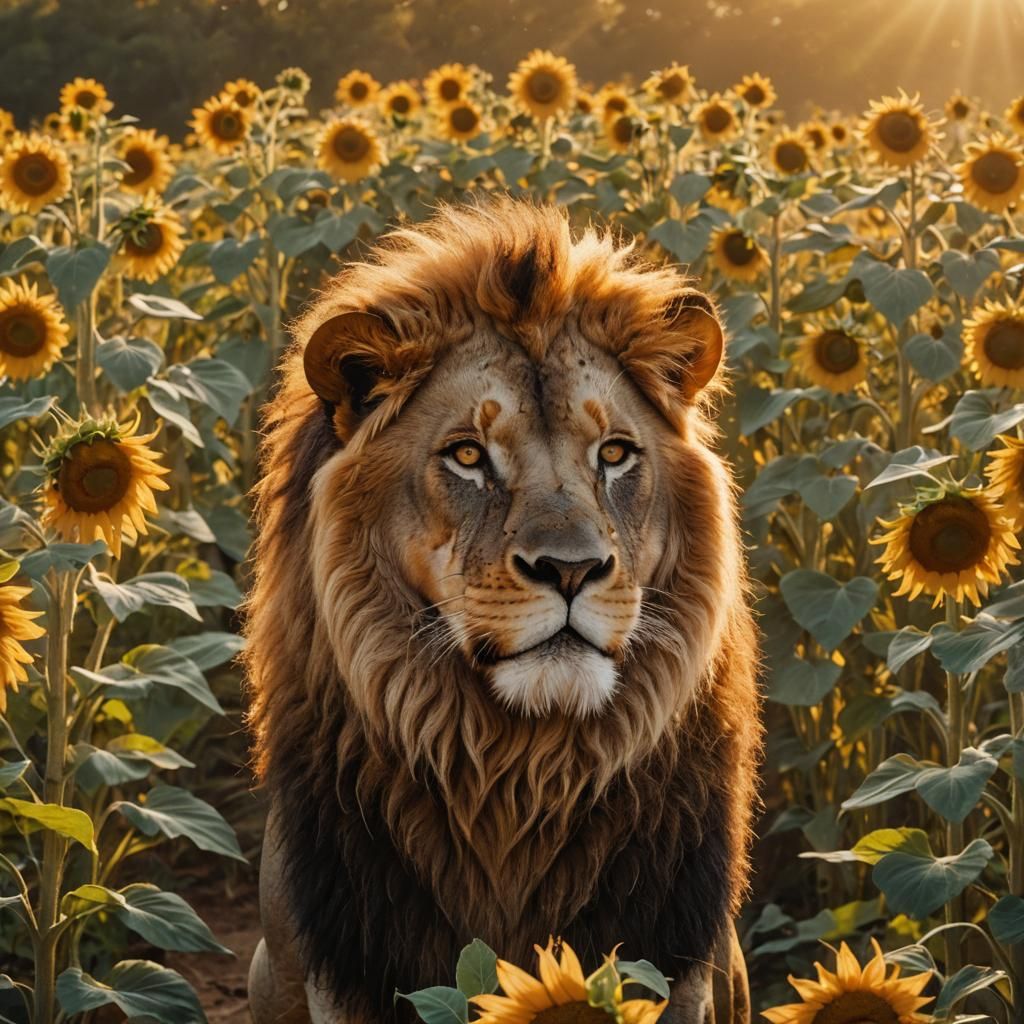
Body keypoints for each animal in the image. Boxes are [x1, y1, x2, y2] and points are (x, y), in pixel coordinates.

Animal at [243, 199, 761, 1024]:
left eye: (615, 454)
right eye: (467, 456)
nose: (571, 569)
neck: (520, 773)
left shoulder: (676, 967)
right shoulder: (345, 968)